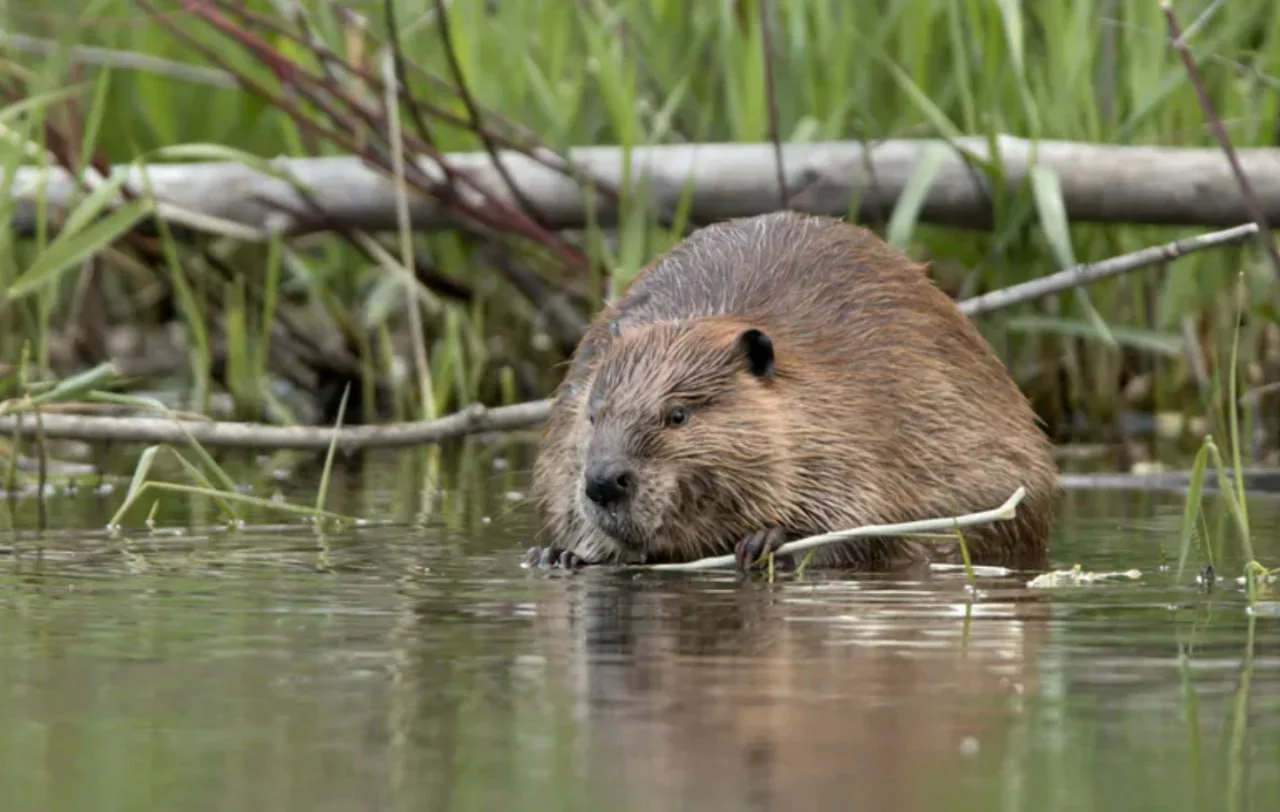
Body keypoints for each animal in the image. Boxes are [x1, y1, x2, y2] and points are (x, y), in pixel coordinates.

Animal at [519, 211, 1059, 571]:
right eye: (593, 415)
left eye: (676, 415)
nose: (603, 482)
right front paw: (558, 553)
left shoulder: (865, 423)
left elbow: (862, 526)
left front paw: (764, 541)